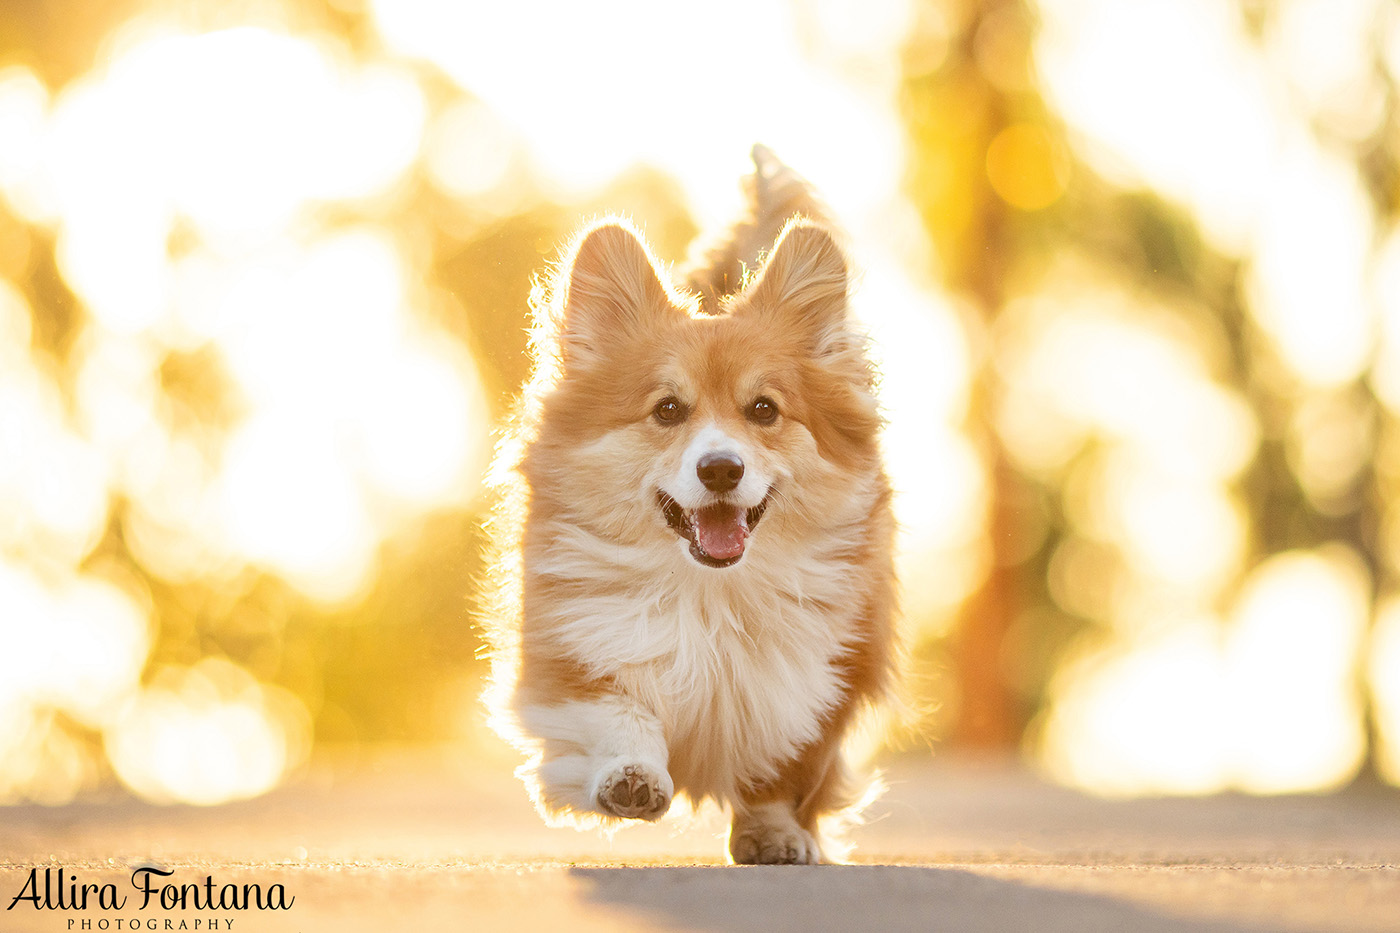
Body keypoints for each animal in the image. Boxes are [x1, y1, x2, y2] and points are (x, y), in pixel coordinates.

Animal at [487, 147, 890, 862]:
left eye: (764, 410)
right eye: (668, 409)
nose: (721, 468)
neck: (710, 598)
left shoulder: (823, 679)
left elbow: (783, 771)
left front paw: (775, 834)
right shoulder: (570, 656)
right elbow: (620, 714)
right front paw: (630, 778)